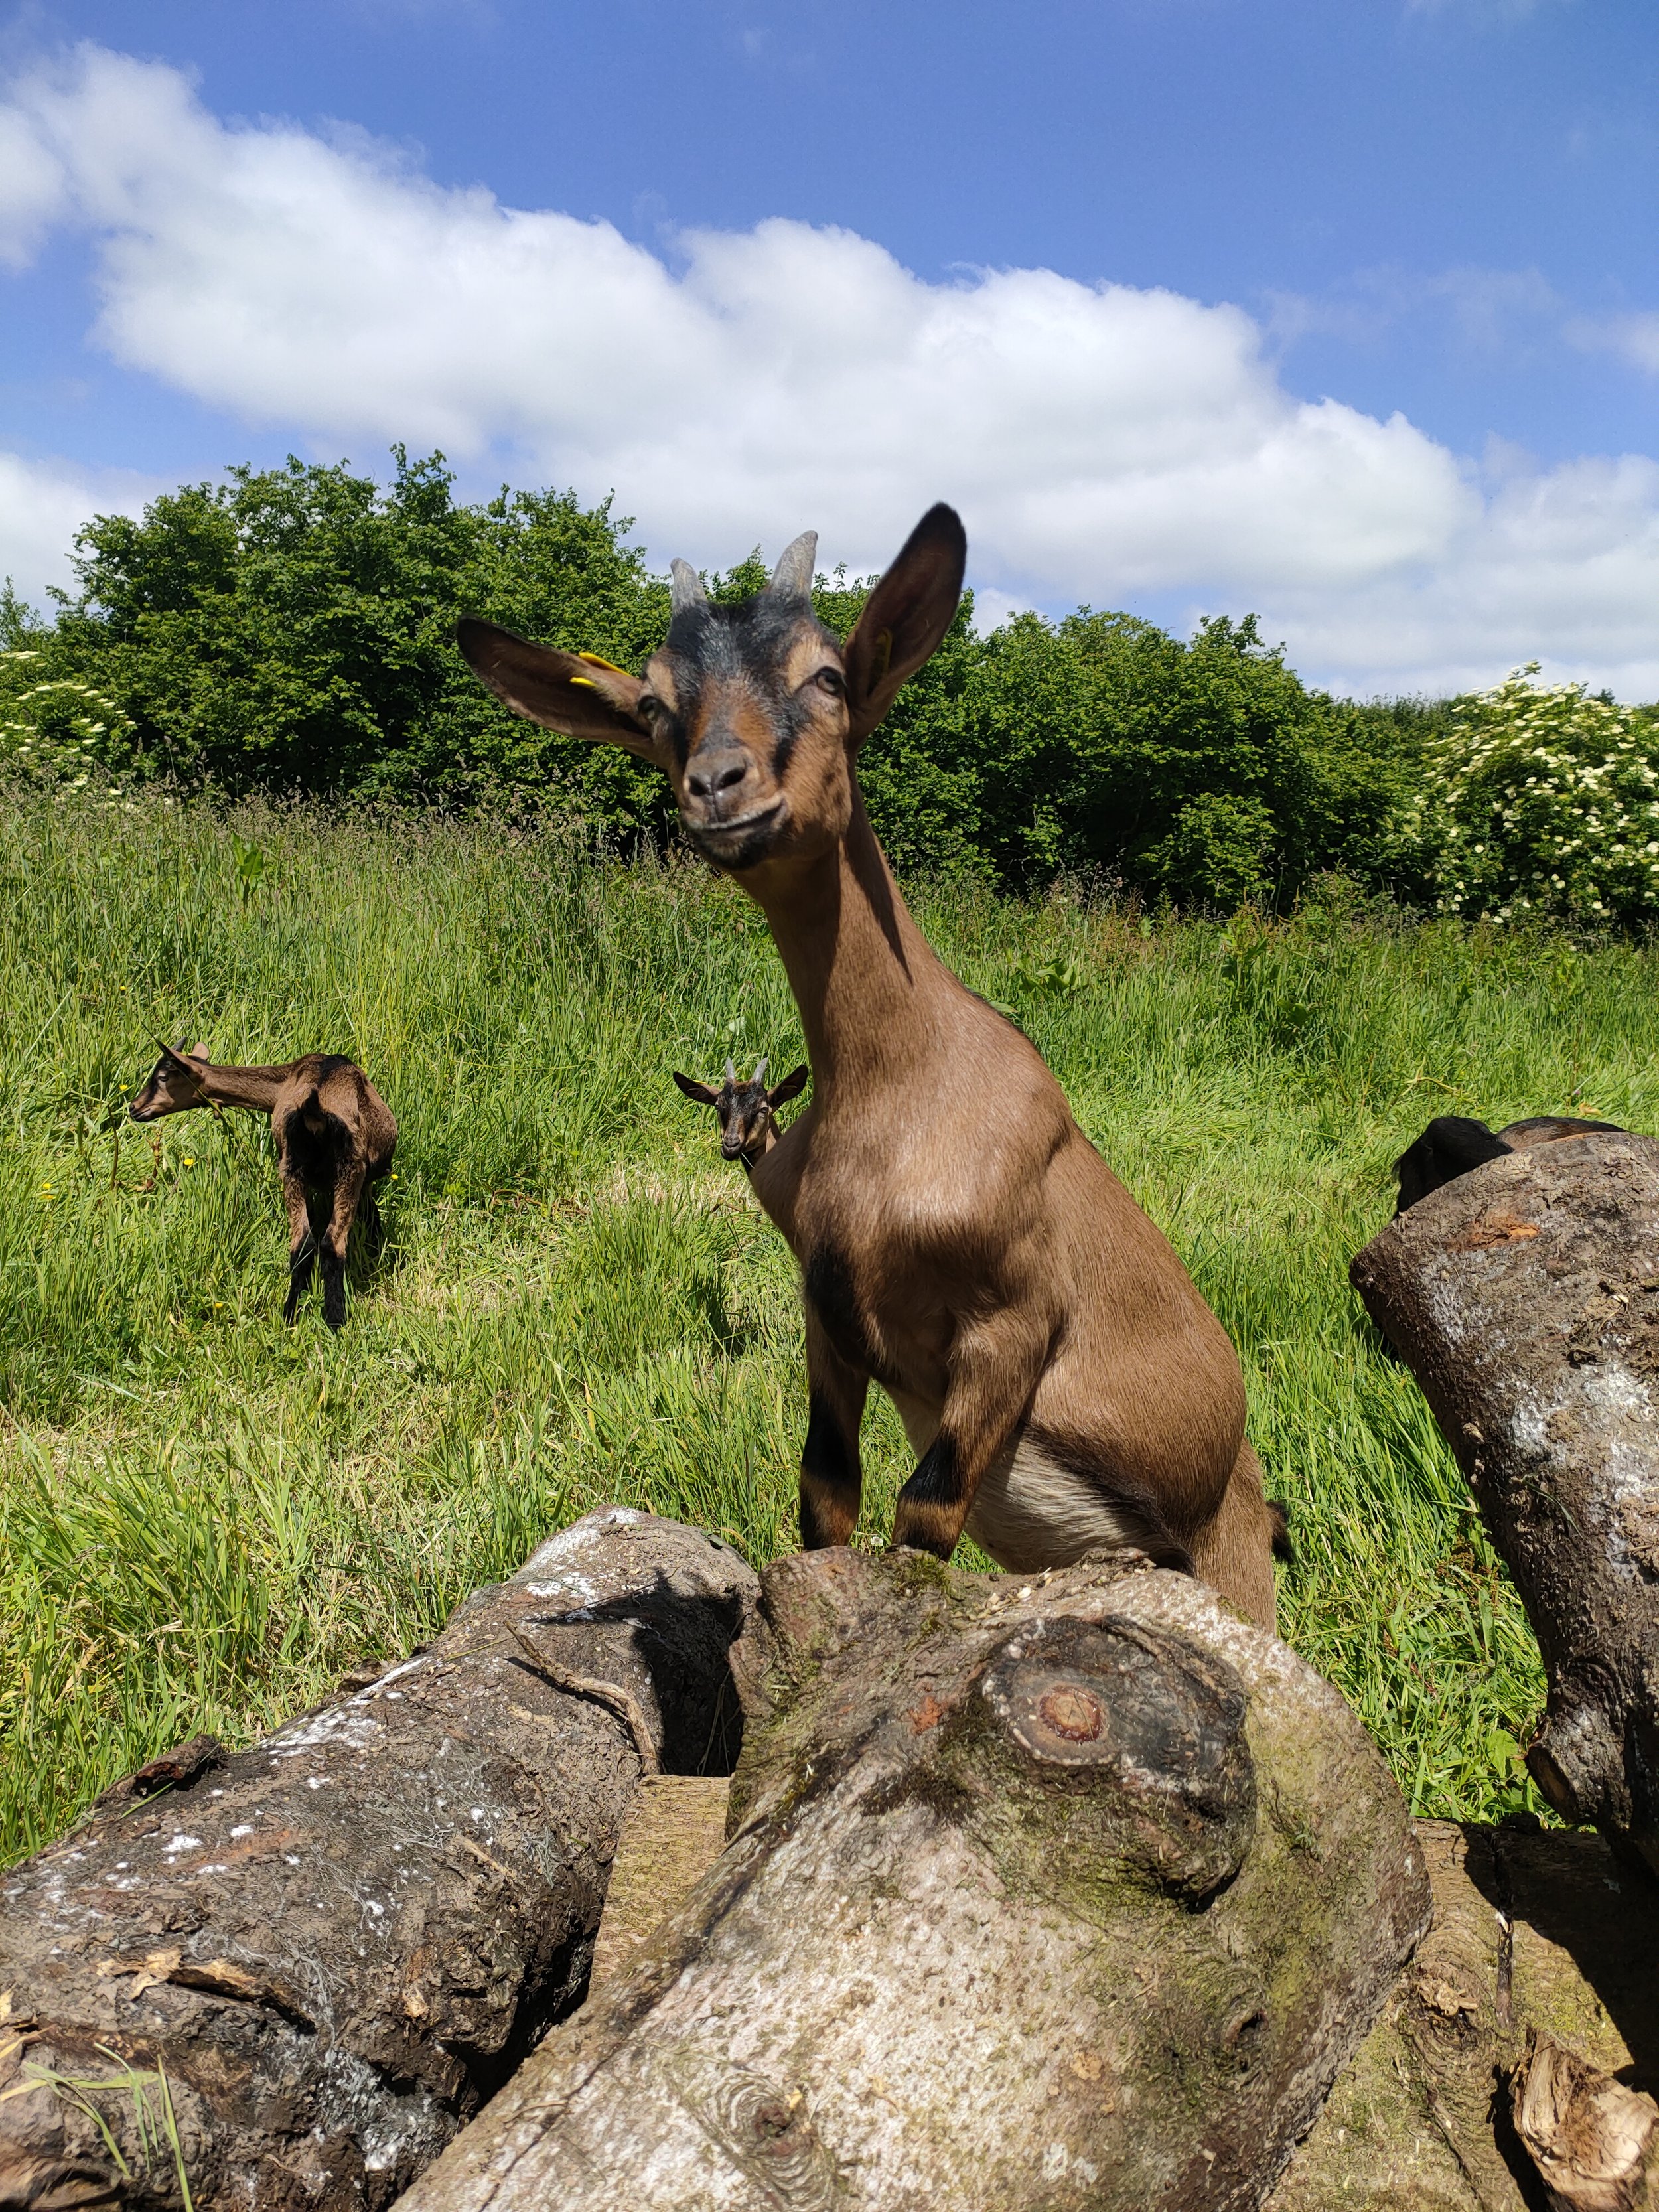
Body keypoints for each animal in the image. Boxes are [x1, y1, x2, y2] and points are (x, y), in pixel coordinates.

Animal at [129, 1042, 396, 1329]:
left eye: (162, 1077)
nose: (134, 1107)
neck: (284, 1081)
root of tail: (314, 1108)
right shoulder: (361, 1178)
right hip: (337, 1169)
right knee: (325, 1242)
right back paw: (324, 1319)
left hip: (306, 1167)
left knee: (307, 1242)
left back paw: (301, 1316)